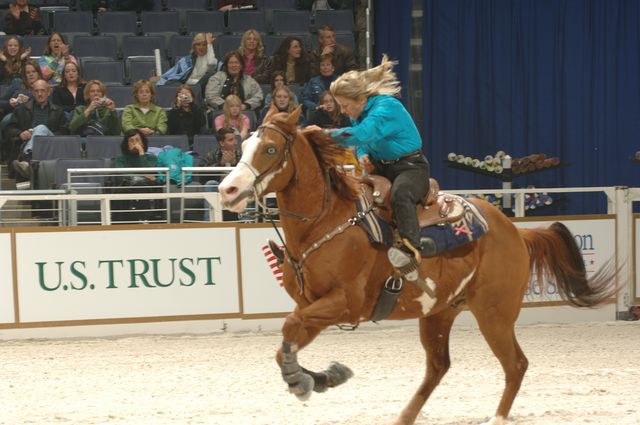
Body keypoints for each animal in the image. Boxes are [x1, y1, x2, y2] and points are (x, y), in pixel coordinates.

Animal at [218, 108, 616, 424]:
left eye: (270, 149)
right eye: (244, 146)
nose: (227, 190)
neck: (326, 223)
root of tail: (517, 232)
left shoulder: (344, 304)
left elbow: (288, 328)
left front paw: (303, 381)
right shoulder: (313, 309)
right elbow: (286, 341)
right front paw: (323, 377)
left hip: (494, 314)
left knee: (516, 364)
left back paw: (498, 418)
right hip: (439, 313)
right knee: (438, 367)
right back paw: (403, 417)